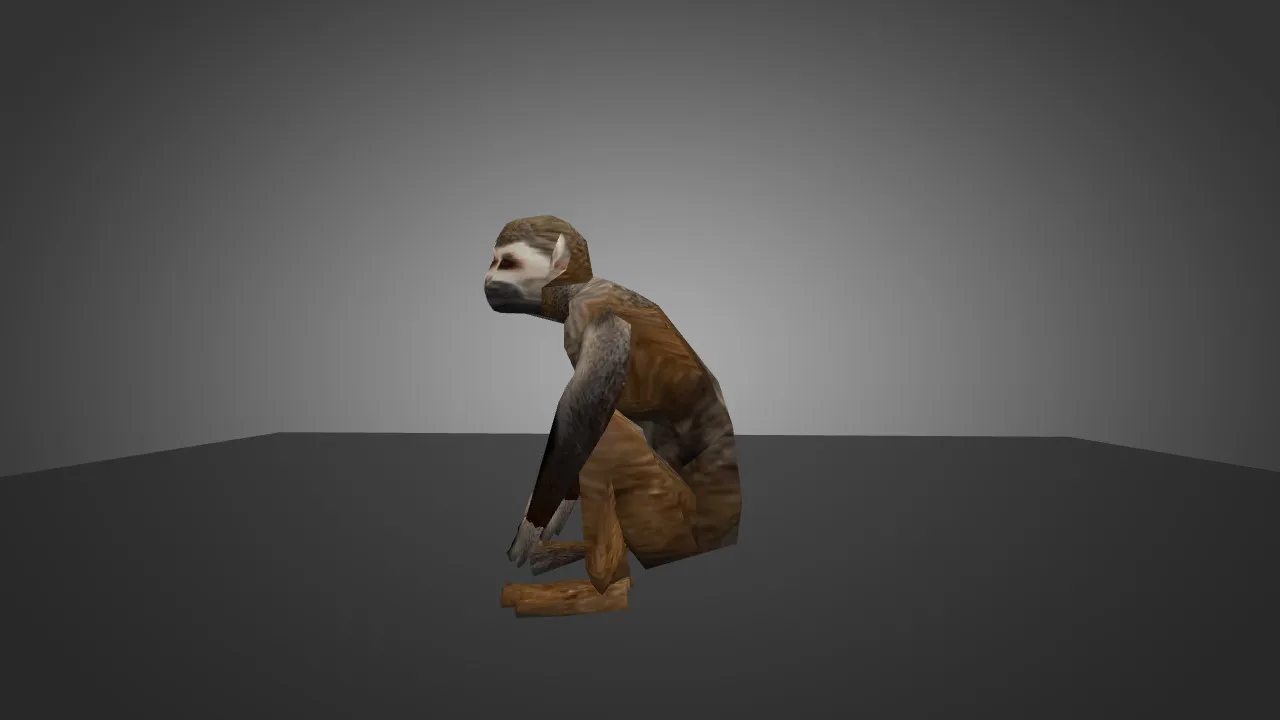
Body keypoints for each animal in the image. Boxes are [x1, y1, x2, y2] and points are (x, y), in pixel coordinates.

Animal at [483, 215, 742, 610]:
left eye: (506, 263)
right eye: (494, 262)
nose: (486, 278)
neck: (572, 291)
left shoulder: (593, 314)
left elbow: (583, 423)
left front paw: (532, 526)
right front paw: (556, 515)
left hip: (675, 524)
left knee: (613, 438)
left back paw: (606, 587)